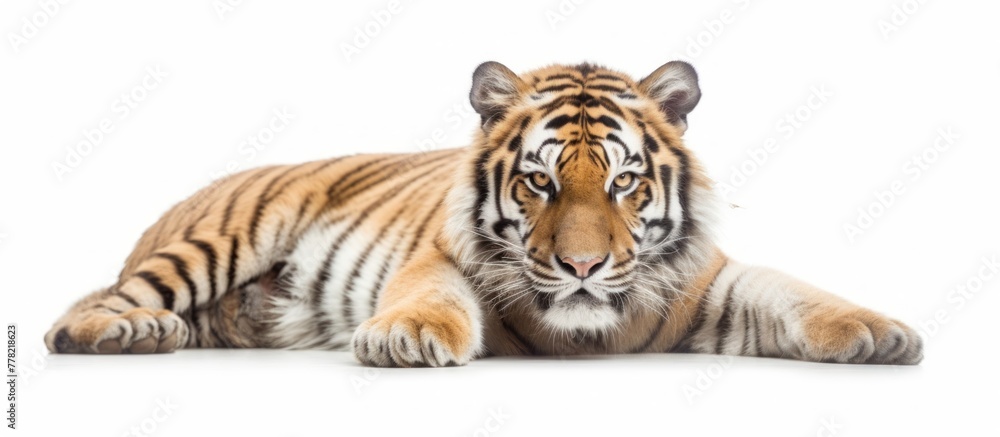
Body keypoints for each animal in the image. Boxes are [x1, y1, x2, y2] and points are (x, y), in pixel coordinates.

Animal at [44, 60, 923, 366]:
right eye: (539, 182)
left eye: (623, 183)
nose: (582, 266)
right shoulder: (439, 259)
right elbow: (429, 295)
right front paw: (404, 337)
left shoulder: (708, 284)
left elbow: (792, 291)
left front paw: (883, 332)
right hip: (227, 233)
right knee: (83, 308)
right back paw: (134, 330)